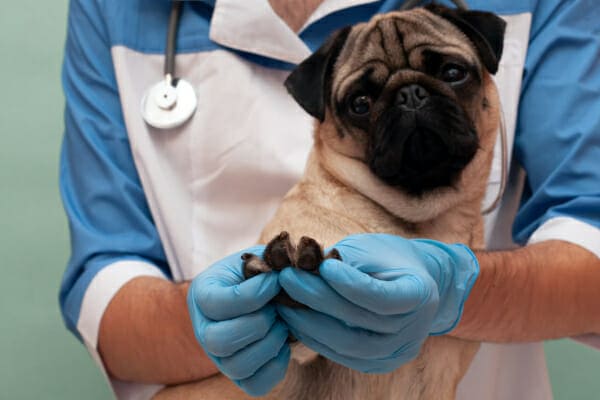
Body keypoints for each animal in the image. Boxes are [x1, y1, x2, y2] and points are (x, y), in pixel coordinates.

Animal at [156, 3, 506, 400]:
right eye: (360, 103)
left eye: (452, 73)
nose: (410, 94)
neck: (418, 218)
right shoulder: (288, 373)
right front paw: (284, 276)